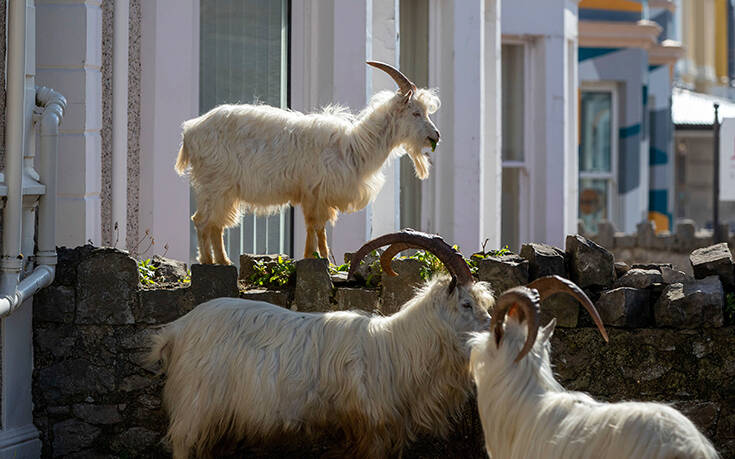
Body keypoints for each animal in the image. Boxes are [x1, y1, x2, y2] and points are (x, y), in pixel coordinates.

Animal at [175, 61, 440, 264]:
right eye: (416, 112)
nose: (435, 136)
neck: (354, 146)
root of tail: (190, 131)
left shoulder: (319, 196)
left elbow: (320, 229)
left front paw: (323, 260)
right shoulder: (314, 192)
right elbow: (314, 226)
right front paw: (312, 258)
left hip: (223, 190)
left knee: (214, 224)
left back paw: (221, 261)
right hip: (215, 185)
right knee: (203, 221)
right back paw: (211, 262)